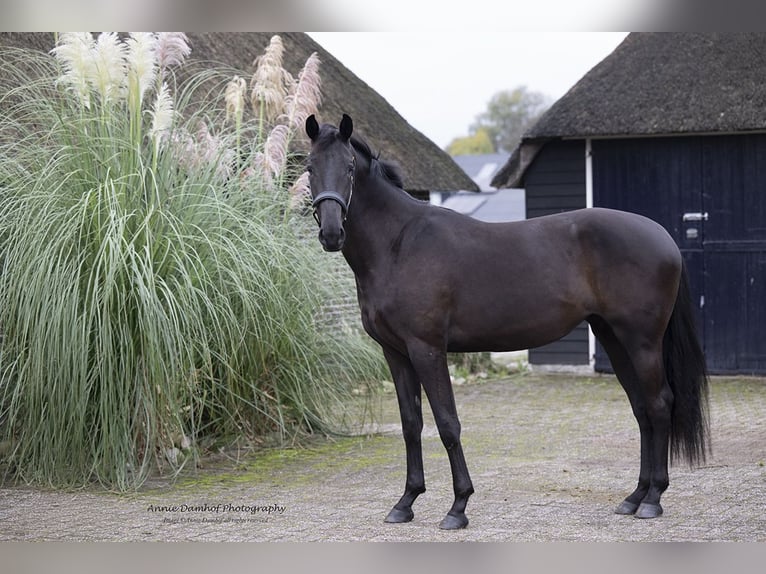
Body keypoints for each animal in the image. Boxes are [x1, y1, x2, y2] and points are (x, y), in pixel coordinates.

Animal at [304, 112, 712, 532]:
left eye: (350, 167)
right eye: (309, 167)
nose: (332, 233)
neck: (398, 244)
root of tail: (663, 236)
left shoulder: (427, 349)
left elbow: (447, 424)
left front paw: (458, 506)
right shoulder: (395, 353)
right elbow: (411, 424)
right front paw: (406, 502)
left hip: (642, 342)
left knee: (659, 404)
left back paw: (653, 499)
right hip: (614, 339)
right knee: (642, 408)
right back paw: (634, 496)